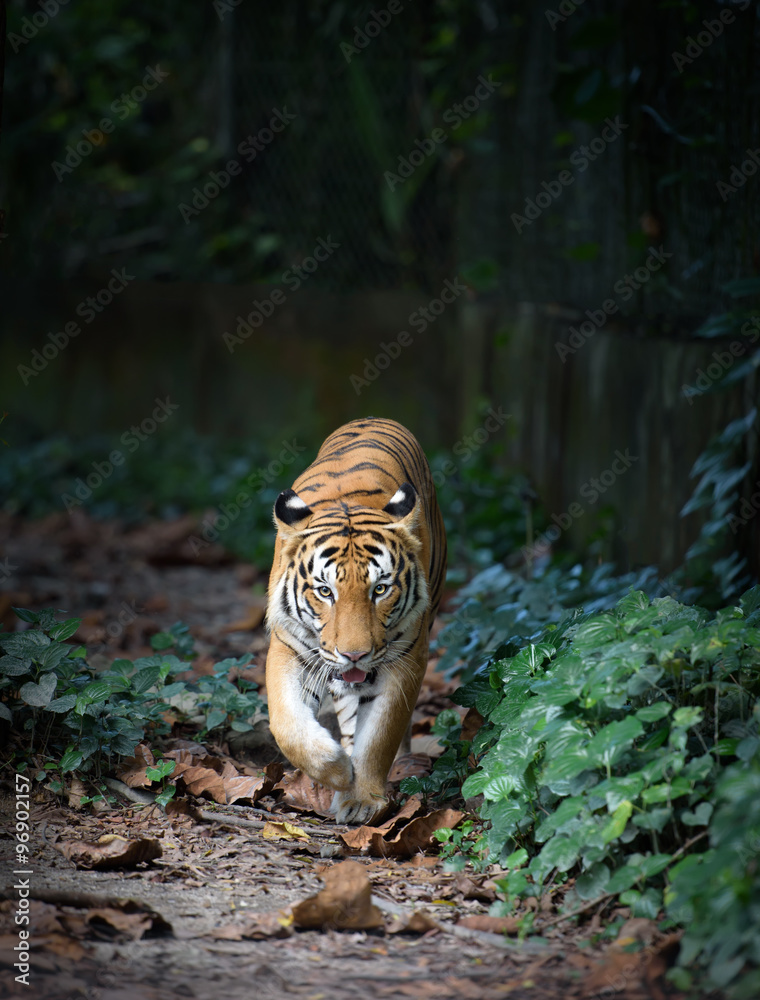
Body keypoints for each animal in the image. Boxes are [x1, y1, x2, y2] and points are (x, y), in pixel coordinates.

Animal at [266, 414, 448, 820]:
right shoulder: (288, 647)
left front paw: (362, 799)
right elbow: (287, 724)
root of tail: (374, 417)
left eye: (379, 589)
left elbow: (380, 734)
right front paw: (336, 769)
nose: (354, 655)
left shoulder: (406, 658)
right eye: (325, 592)